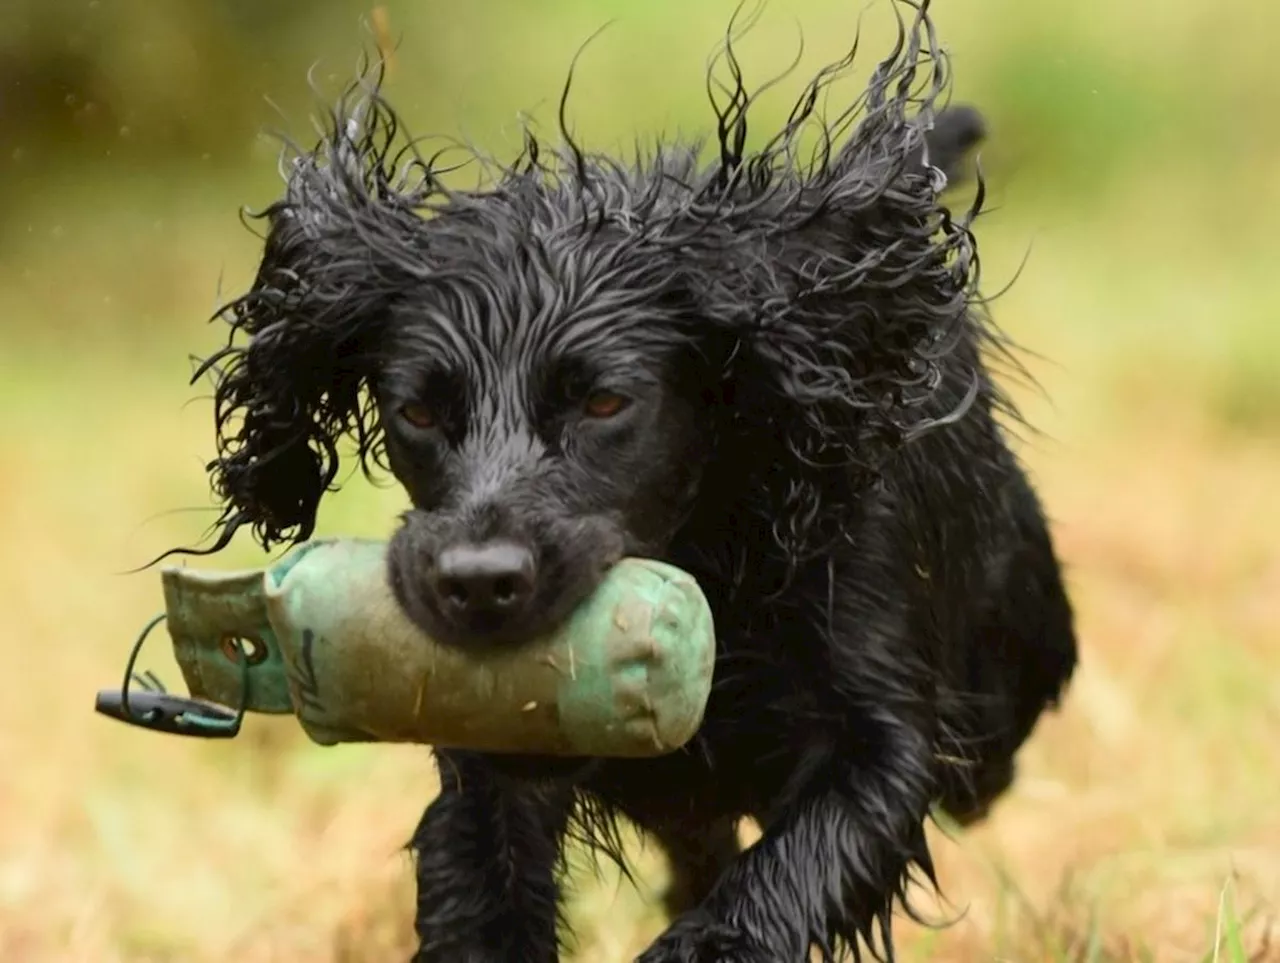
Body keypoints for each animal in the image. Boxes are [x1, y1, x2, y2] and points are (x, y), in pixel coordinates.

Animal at [183, 3, 1080, 957]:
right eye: (417, 412)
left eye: (606, 401)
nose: (478, 583)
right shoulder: (494, 770)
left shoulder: (876, 724)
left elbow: (782, 876)